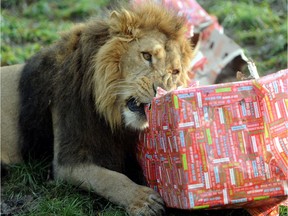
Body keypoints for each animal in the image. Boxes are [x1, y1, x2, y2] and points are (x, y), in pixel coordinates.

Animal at [2, 2, 195, 216]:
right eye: (146, 56)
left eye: (175, 72)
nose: (162, 90)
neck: (110, 114)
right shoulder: (67, 159)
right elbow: (108, 177)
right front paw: (143, 200)